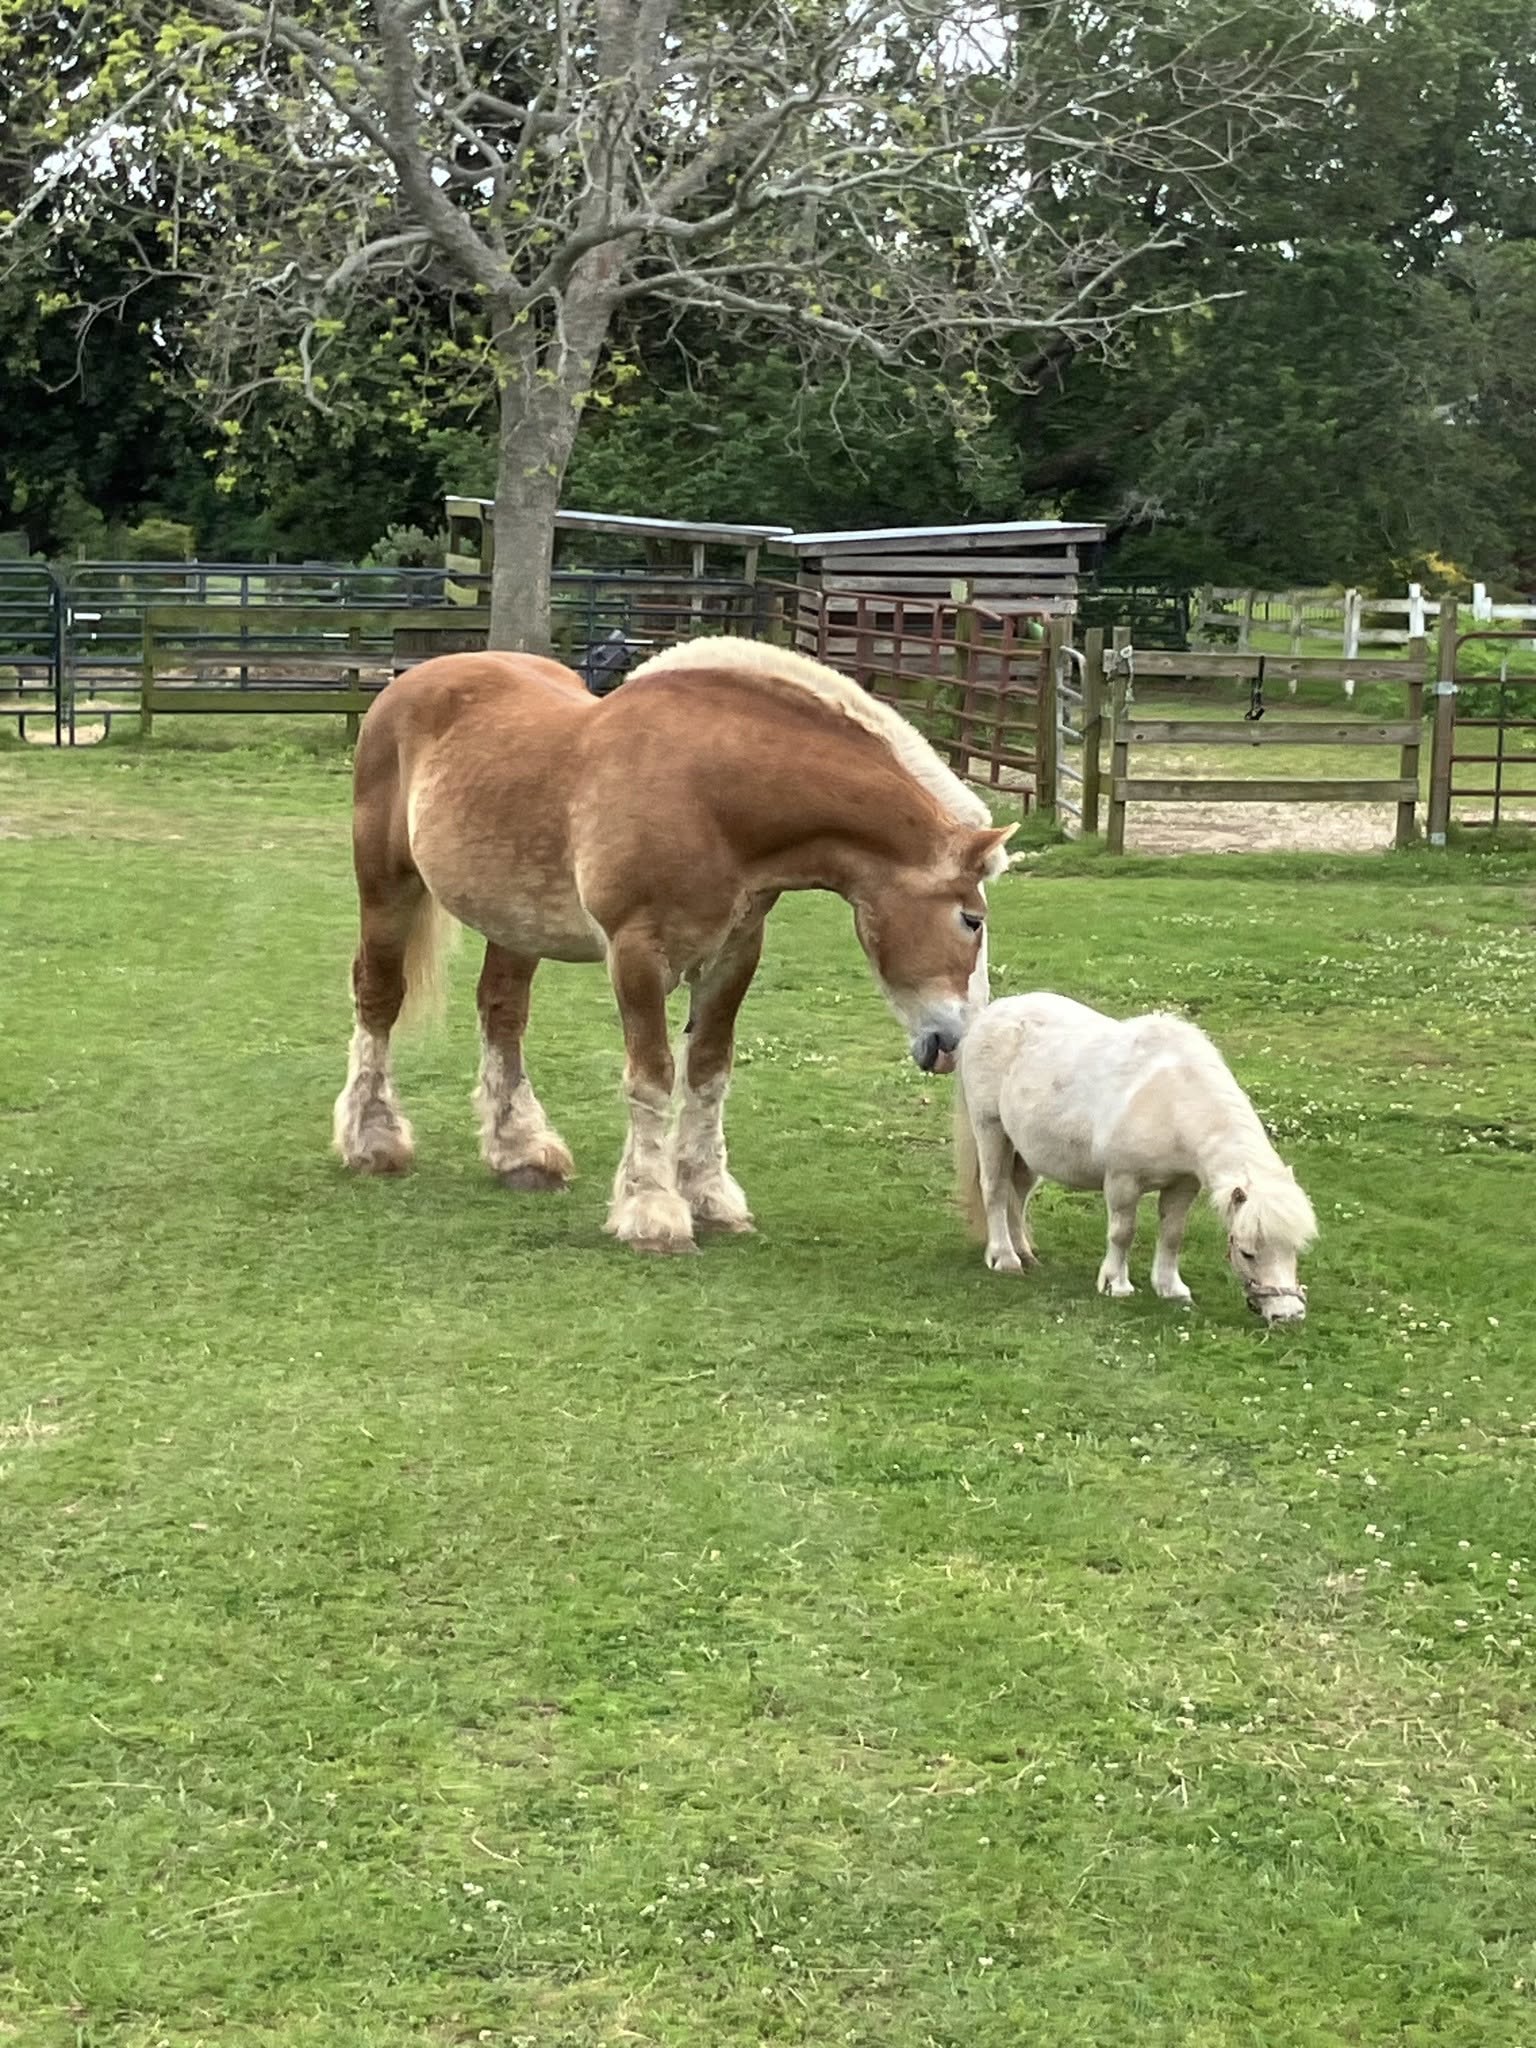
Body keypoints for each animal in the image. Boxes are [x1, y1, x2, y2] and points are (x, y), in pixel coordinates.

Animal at [332, 635, 1014, 1254]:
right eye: (971, 920)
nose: (954, 1041)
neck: (711, 796)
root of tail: (409, 682)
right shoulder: (637, 955)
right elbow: (653, 1074)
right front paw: (652, 1211)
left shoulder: (735, 954)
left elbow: (708, 1071)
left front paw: (710, 1197)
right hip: (387, 887)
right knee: (379, 998)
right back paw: (373, 1140)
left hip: (516, 921)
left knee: (501, 1013)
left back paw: (520, 1152)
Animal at [953, 993, 1317, 1321]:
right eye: (1247, 1253)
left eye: (1294, 1248)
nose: (1288, 1314)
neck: (1173, 1100)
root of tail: (988, 1016)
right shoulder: (1122, 1180)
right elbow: (1122, 1232)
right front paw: (1116, 1284)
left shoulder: (1183, 1185)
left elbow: (1172, 1234)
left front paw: (1171, 1288)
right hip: (991, 1129)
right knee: (995, 1190)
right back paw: (1006, 1259)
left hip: (1025, 1150)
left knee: (1018, 1193)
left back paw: (1025, 1253)